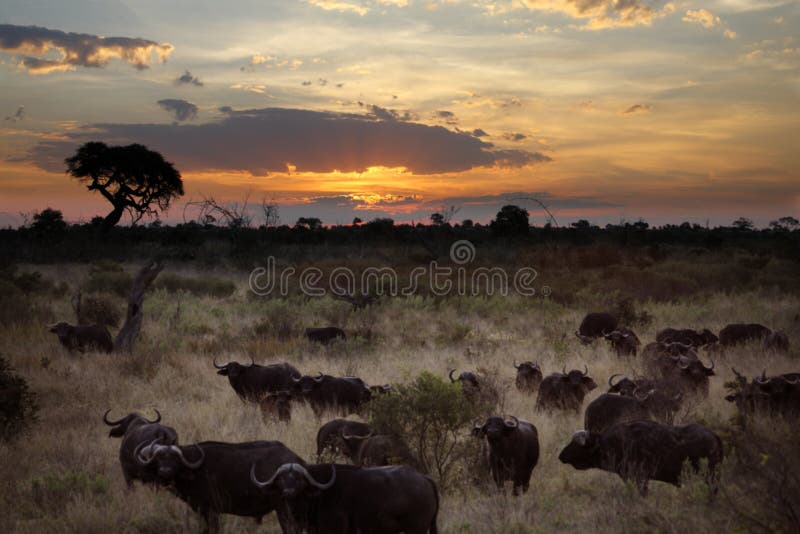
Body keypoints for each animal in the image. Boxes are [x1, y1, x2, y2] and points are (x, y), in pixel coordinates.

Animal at [135, 440, 304, 534]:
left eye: (175, 460)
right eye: (159, 459)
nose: (165, 471)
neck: (196, 470)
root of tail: (296, 459)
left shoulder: (211, 511)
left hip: (284, 510)